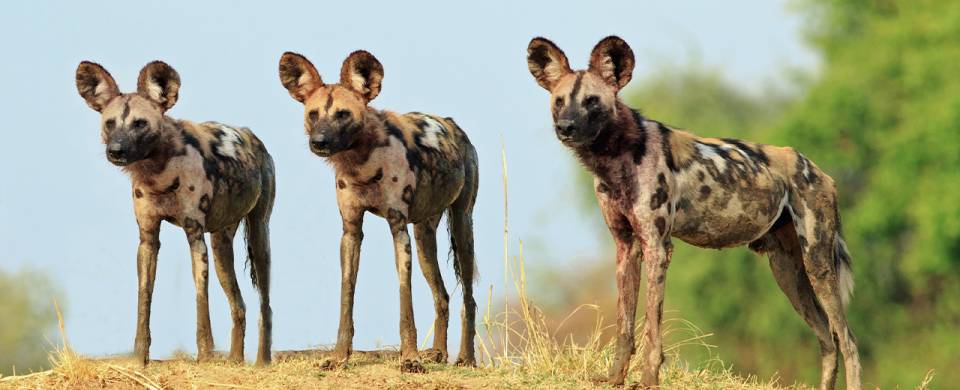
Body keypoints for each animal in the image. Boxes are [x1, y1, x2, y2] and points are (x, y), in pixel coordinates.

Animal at [76, 60, 274, 366]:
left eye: (140, 123)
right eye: (110, 123)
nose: (116, 151)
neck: (158, 174)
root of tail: (252, 135)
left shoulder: (194, 234)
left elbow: (200, 299)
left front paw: (204, 355)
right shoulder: (148, 239)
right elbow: (144, 298)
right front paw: (140, 358)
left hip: (259, 236)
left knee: (266, 305)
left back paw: (262, 361)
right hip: (220, 247)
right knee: (239, 305)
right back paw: (235, 360)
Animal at [278, 51, 480, 372]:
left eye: (343, 114)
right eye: (313, 114)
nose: (319, 142)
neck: (361, 165)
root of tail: (452, 124)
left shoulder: (398, 229)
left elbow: (405, 304)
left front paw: (409, 359)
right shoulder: (351, 231)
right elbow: (346, 298)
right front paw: (339, 357)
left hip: (462, 226)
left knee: (469, 299)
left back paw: (466, 358)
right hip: (424, 239)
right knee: (443, 296)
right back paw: (438, 353)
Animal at [524, 35, 864, 386]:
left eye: (592, 101)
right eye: (560, 101)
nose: (566, 127)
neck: (615, 159)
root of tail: (816, 168)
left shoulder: (657, 247)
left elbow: (652, 329)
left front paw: (649, 380)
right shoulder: (626, 247)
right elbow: (625, 327)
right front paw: (615, 379)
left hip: (817, 264)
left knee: (848, 340)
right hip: (787, 271)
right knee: (828, 340)